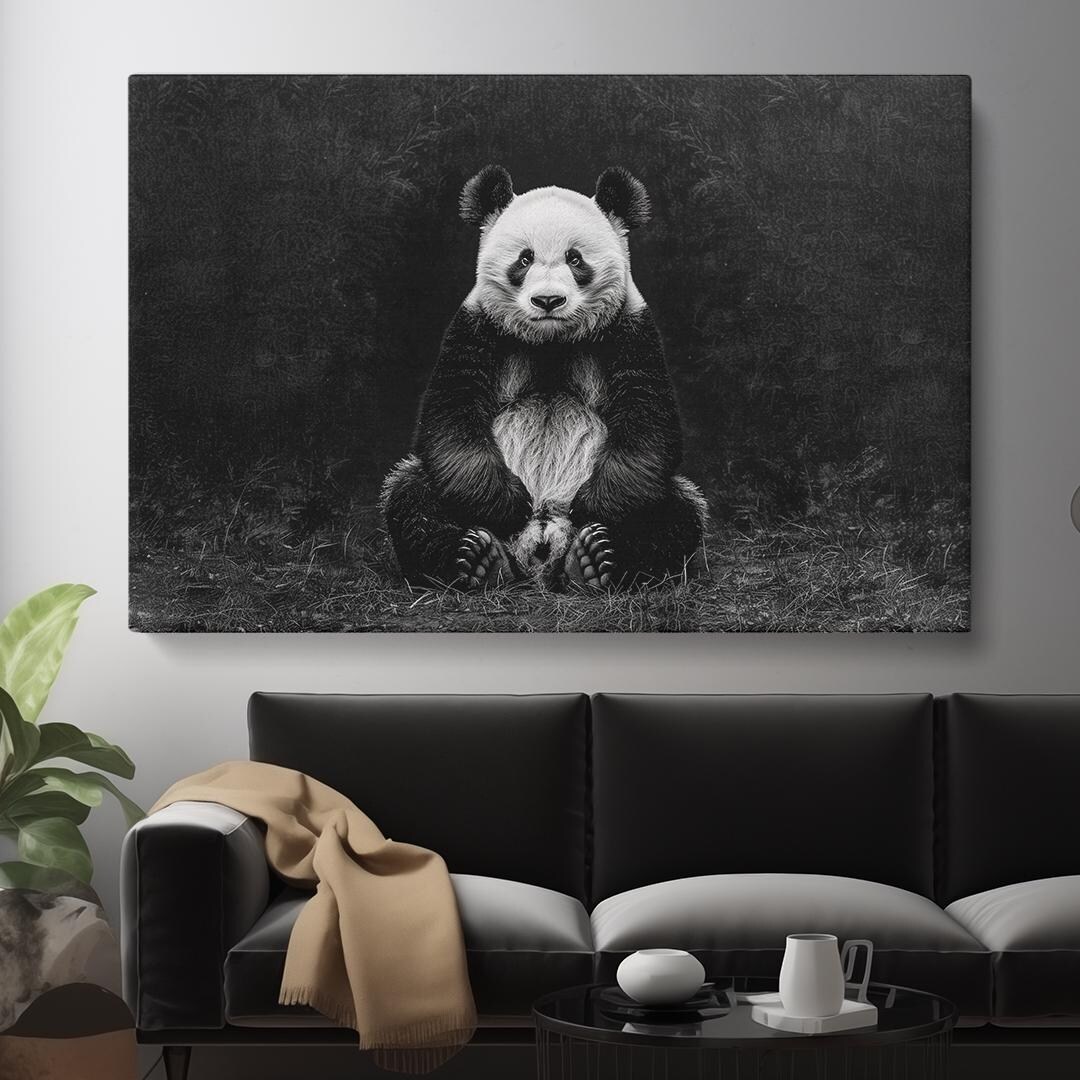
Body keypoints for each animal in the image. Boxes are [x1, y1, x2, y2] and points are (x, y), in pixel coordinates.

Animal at [381, 165, 707, 590]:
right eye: (524, 259)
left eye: (575, 258)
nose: (548, 300)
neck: (551, 342)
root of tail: (541, 544)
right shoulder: (475, 327)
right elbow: (450, 417)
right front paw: (505, 503)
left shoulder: (630, 330)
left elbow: (648, 423)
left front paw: (594, 505)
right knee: (410, 497)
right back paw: (479, 560)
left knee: (677, 512)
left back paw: (595, 559)